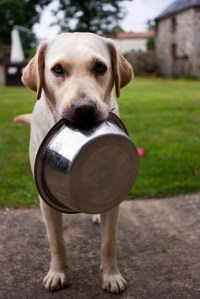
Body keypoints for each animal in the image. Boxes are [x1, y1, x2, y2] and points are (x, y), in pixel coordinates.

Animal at [19, 31, 133, 294]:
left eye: (100, 67)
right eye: (58, 69)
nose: (84, 109)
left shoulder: (114, 200)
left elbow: (108, 243)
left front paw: (111, 276)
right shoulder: (45, 202)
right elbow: (56, 242)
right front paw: (57, 273)